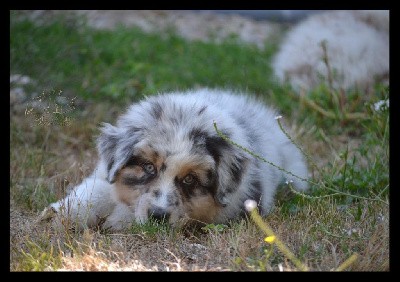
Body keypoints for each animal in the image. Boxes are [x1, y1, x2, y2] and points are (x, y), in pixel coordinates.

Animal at [42, 89, 308, 230]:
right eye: (148, 167)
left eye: (190, 179)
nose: (157, 216)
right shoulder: (103, 174)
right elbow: (94, 191)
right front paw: (56, 215)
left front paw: (117, 219)